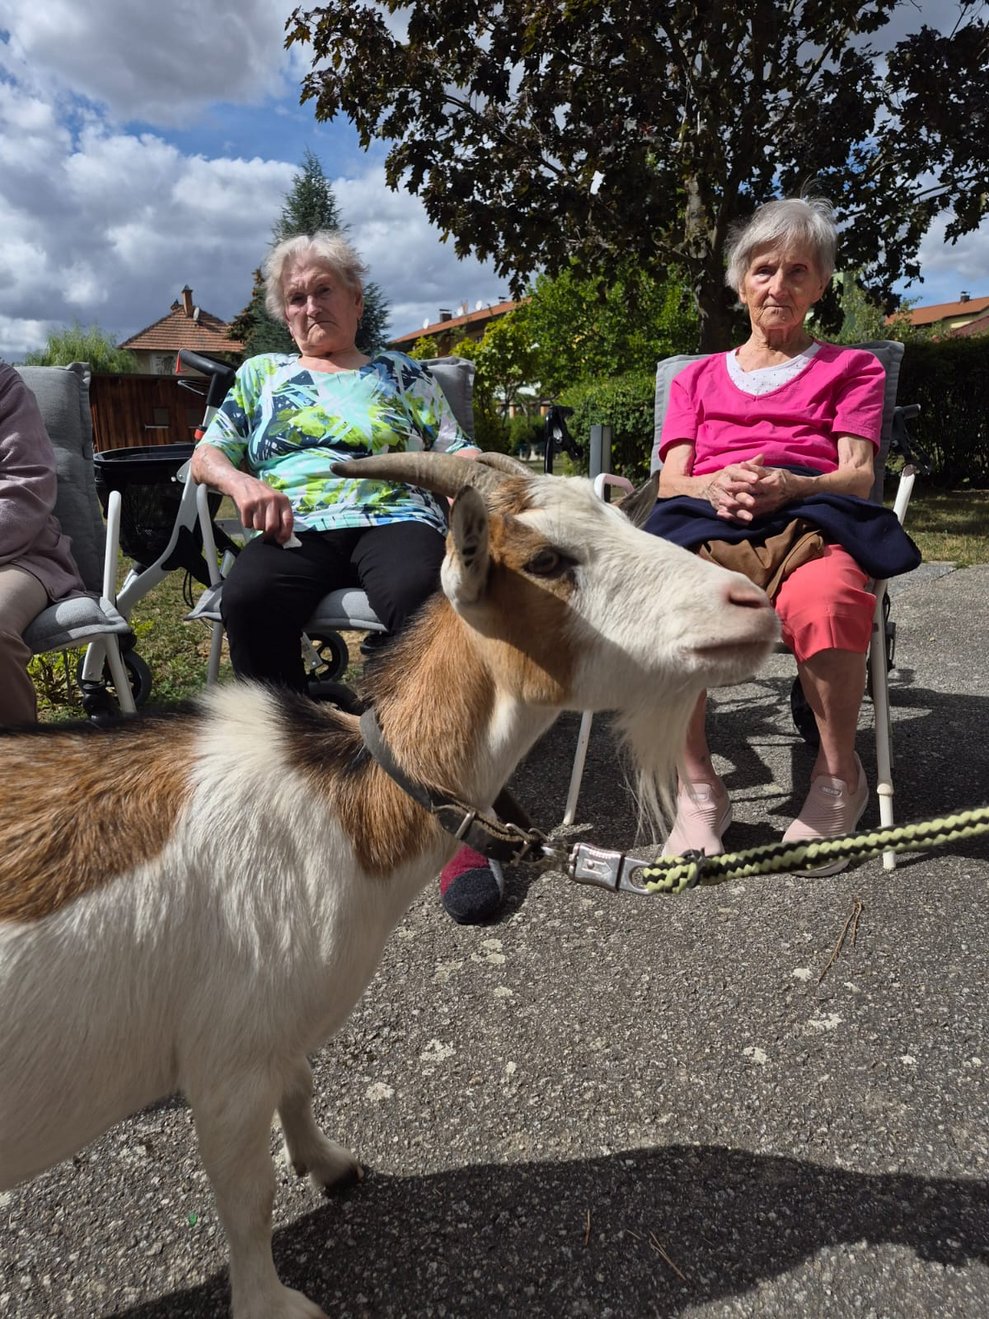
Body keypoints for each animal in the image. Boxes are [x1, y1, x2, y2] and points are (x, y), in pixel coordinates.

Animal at [0, 453, 778, 1318]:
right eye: (546, 561)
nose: (751, 604)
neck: (339, 796)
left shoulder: (279, 1031)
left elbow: (301, 1085)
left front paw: (330, 1163)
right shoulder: (226, 1059)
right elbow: (247, 1198)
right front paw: (275, 1303)